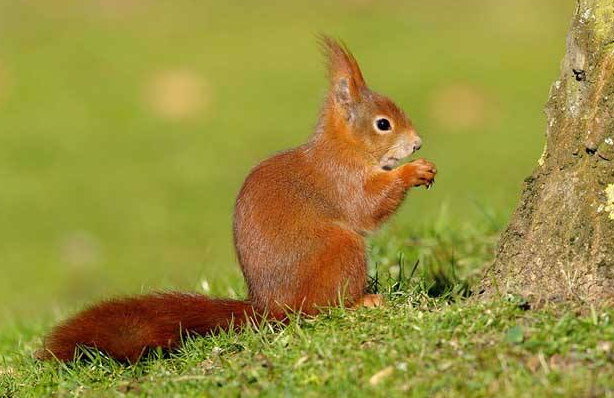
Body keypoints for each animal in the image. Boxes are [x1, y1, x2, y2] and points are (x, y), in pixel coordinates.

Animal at [38, 38, 438, 364]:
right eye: (383, 124)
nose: (418, 143)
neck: (344, 147)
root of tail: (269, 309)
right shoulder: (341, 179)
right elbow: (367, 207)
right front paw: (412, 172)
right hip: (339, 250)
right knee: (318, 309)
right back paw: (359, 302)